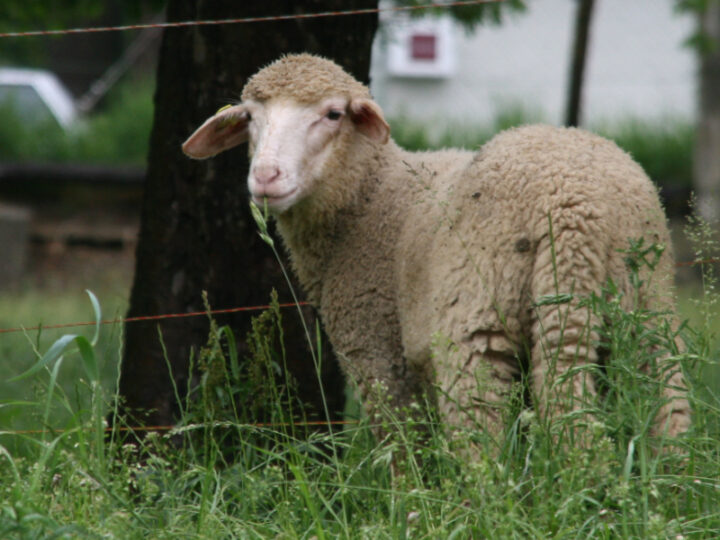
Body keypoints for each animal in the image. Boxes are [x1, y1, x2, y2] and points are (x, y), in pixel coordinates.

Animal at [182, 53, 691, 451]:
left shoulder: (376, 353)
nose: (265, 177)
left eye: (333, 115)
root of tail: (579, 203)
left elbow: (406, 458)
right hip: (647, 318)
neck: (370, 200)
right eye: (250, 118)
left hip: (475, 332)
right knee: (667, 414)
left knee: (489, 455)